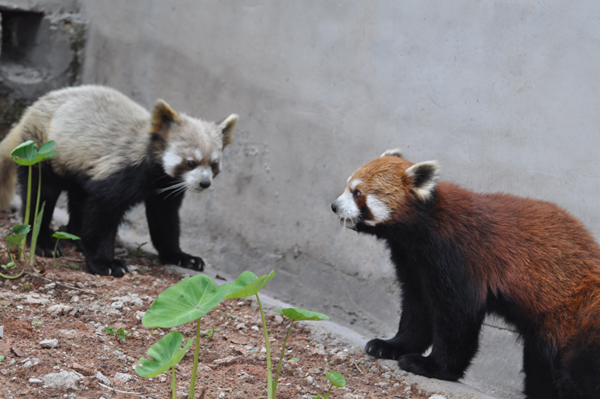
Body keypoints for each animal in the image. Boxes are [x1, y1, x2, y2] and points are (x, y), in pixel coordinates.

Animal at [0, 84, 238, 278]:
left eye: (213, 165)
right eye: (191, 162)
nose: (204, 183)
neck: (155, 175)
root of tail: (29, 111)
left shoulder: (164, 188)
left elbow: (165, 220)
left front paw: (180, 255)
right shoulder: (122, 171)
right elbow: (103, 213)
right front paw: (104, 263)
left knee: (79, 198)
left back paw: (76, 236)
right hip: (41, 151)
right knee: (41, 195)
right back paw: (43, 242)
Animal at [330, 150, 600, 399]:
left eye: (357, 193)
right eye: (347, 186)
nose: (334, 206)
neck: (422, 228)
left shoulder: (458, 258)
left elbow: (457, 317)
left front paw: (432, 366)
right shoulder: (413, 265)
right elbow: (416, 309)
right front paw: (391, 346)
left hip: (582, 319)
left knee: (580, 373)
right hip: (546, 330)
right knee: (540, 364)